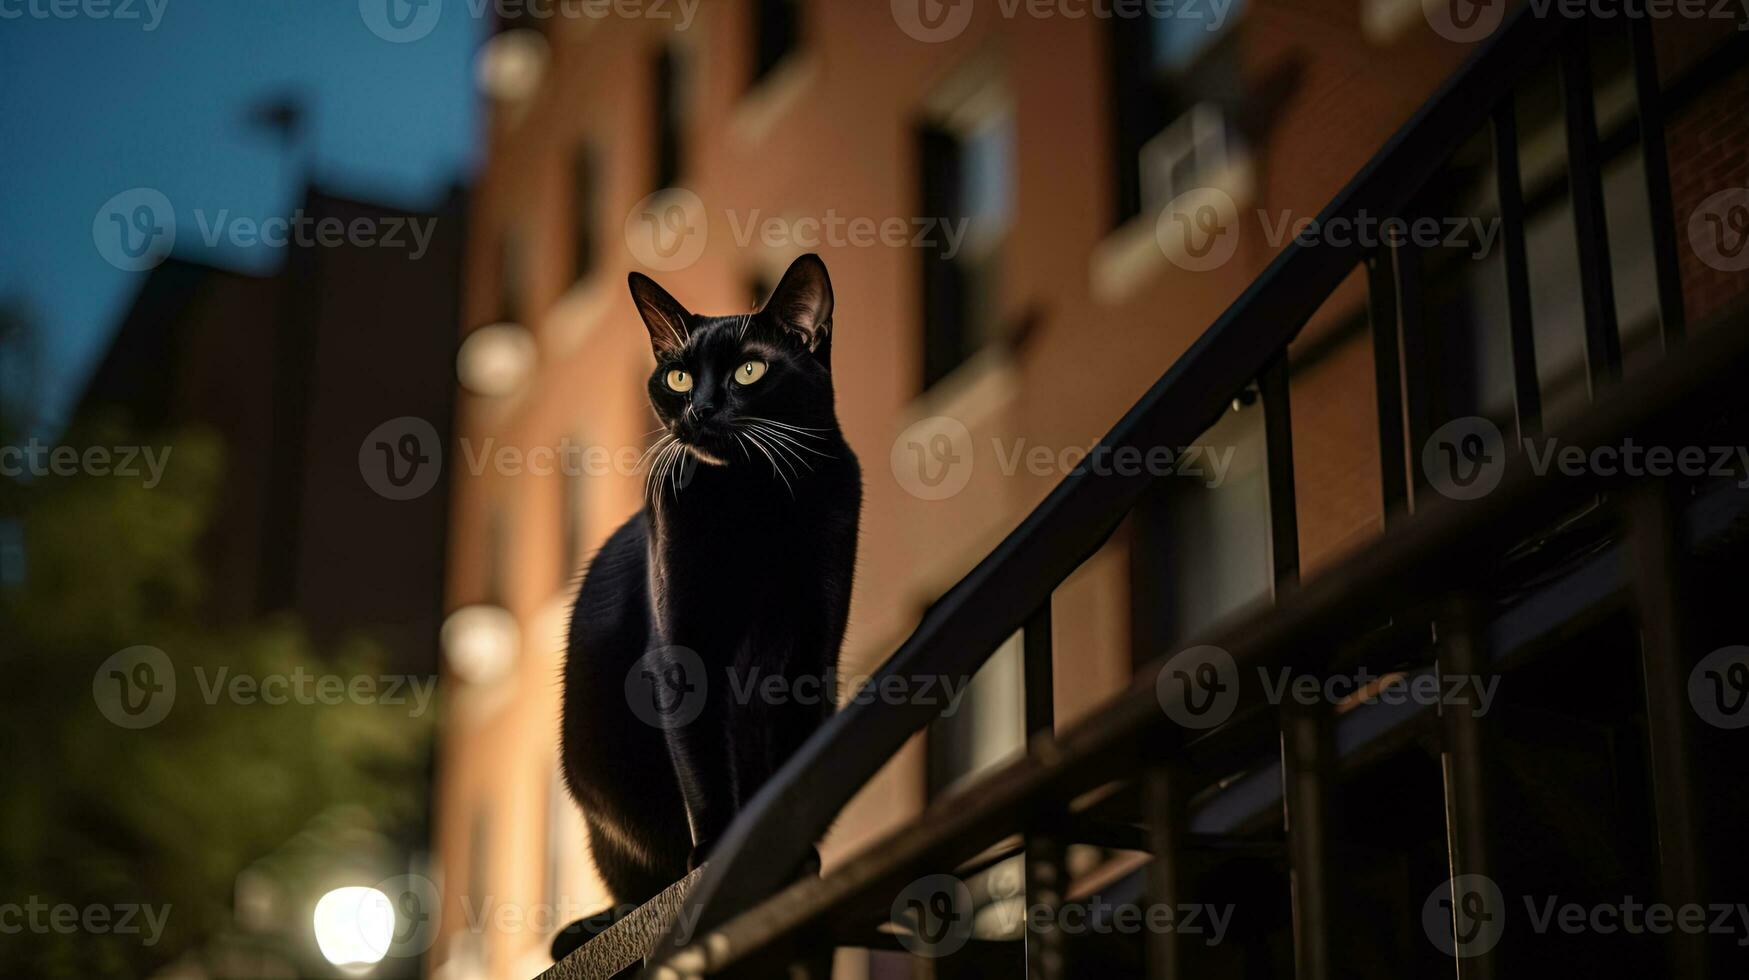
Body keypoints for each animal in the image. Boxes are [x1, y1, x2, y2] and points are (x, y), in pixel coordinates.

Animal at [559, 257, 860, 917]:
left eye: (749, 370)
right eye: (677, 377)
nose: (697, 408)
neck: (752, 500)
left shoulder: (810, 646)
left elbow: (786, 756)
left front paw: (779, 849)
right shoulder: (682, 647)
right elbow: (700, 760)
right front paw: (715, 854)